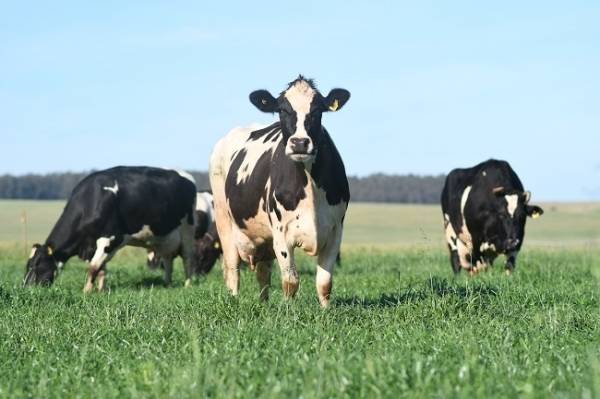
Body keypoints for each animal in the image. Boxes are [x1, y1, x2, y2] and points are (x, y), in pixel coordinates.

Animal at [24, 166, 197, 290]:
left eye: (36, 265)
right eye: (28, 265)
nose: (26, 288)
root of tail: (188, 176)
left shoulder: (109, 239)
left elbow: (93, 268)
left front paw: (86, 292)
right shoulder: (93, 245)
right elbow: (101, 269)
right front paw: (100, 290)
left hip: (187, 231)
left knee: (188, 258)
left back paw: (187, 285)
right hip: (166, 239)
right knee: (168, 260)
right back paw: (167, 284)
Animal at [211, 75, 352, 308]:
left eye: (317, 111)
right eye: (282, 110)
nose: (300, 142)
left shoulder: (335, 231)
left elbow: (324, 282)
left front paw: (326, 310)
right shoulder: (282, 234)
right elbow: (290, 281)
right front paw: (288, 310)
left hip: (263, 238)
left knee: (262, 272)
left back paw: (263, 303)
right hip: (224, 219)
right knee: (232, 268)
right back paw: (234, 301)